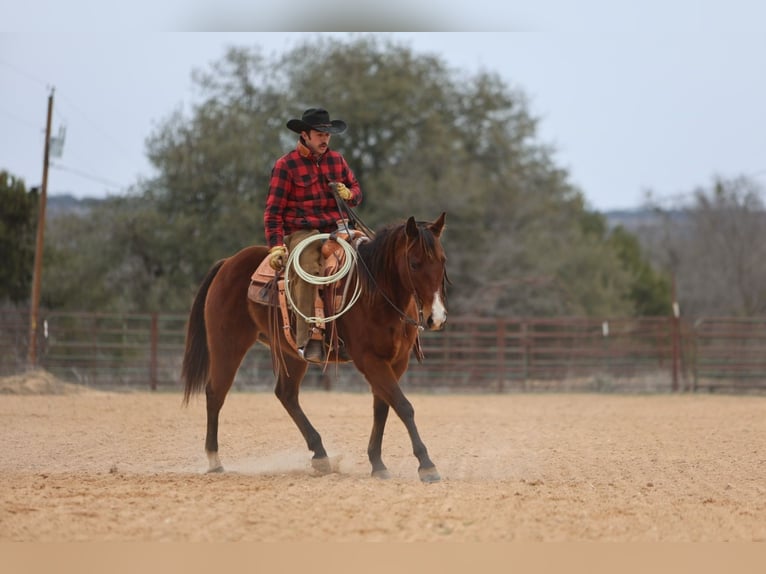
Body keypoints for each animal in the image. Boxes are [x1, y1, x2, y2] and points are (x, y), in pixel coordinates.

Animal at [184, 214, 450, 484]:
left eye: (442, 261)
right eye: (414, 263)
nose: (436, 318)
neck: (375, 293)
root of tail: (227, 263)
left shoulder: (396, 361)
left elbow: (383, 407)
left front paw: (377, 463)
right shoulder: (370, 360)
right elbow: (403, 406)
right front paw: (427, 465)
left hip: (292, 353)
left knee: (286, 395)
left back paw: (321, 455)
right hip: (227, 344)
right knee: (215, 393)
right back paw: (214, 460)